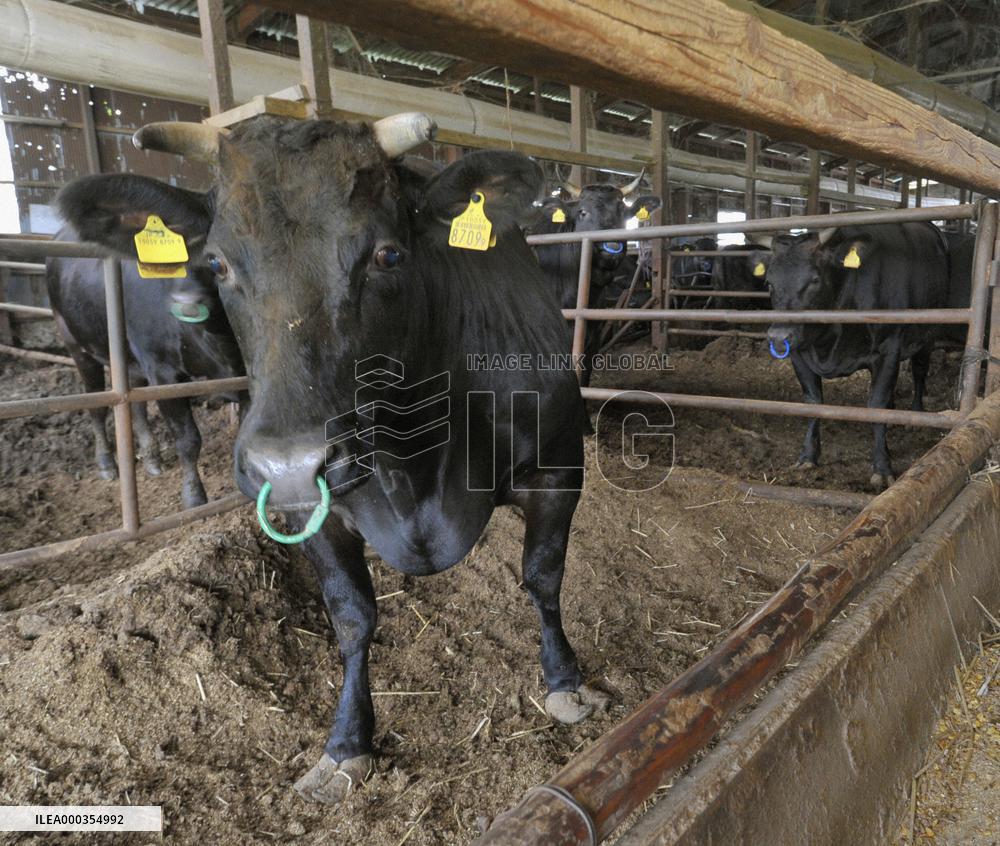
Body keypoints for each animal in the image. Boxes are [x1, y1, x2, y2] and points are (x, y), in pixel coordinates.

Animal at [46, 233, 245, 508]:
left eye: (215, 261)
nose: (185, 302)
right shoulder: (163, 373)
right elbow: (188, 439)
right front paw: (194, 496)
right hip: (78, 347)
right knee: (97, 408)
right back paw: (106, 462)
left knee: (136, 405)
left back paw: (151, 457)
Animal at [750, 223, 948, 490]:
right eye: (769, 282)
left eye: (815, 279)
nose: (779, 336)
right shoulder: (800, 354)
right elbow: (813, 402)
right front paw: (808, 456)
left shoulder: (888, 349)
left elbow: (876, 405)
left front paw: (882, 468)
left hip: (928, 335)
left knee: (919, 373)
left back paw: (914, 415)